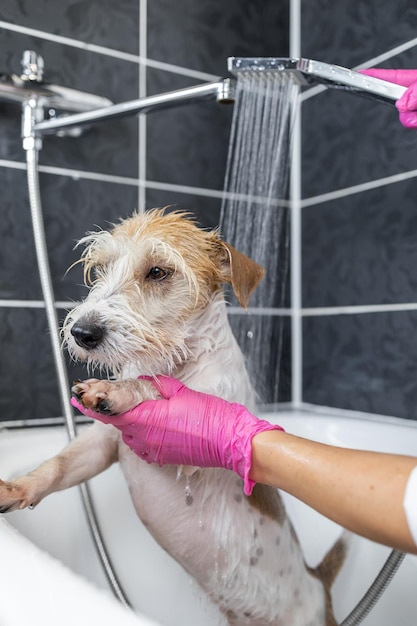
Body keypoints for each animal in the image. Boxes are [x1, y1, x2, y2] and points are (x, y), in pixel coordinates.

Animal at [0, 211, 344, 624]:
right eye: (101, 269)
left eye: (158, 272)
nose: (83, 332)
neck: (175, 363)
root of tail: (319, 584)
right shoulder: (102, 445)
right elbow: (58, 465)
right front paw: (17, 489)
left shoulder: (200, 433)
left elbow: (152, 389)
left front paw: (121, 390)